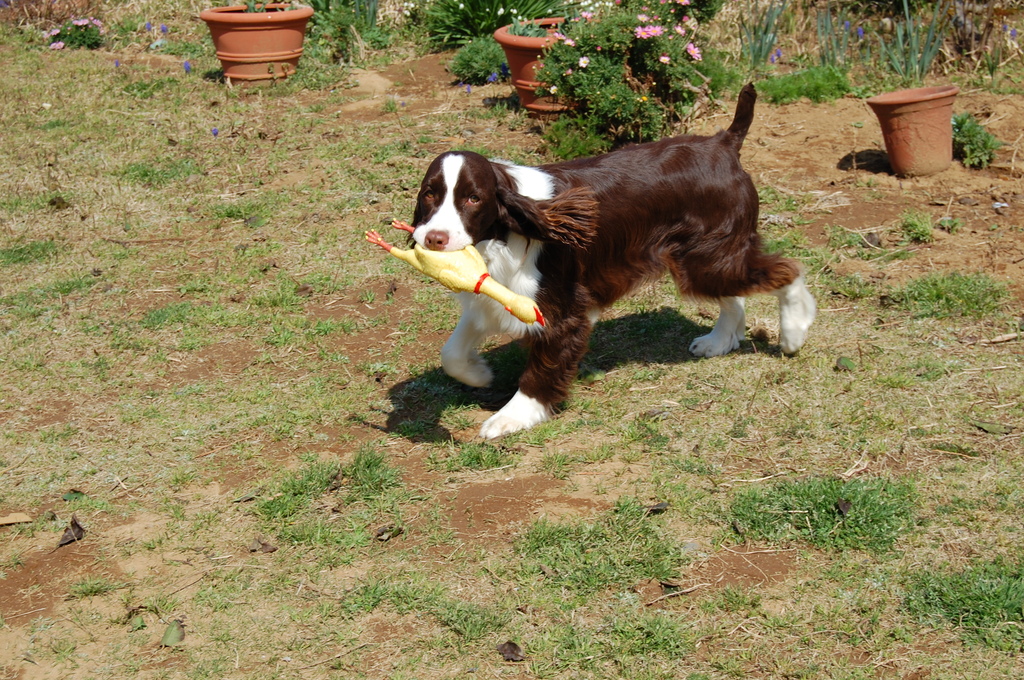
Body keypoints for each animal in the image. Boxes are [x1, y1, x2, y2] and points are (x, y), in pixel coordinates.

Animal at [403, 85, 811, 438]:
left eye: (473, 198)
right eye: (429, 194)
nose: (434, 238)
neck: (504, 233)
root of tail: (724, 143)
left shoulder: (559, 309)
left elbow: (541, 368)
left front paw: (512, 417)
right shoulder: (493, 294)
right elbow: (451, 352)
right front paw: (480, 373)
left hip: (704, 258)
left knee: (787, 271)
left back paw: (793, 332)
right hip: (703, 258)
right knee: (735, 290)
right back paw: (720, 340)